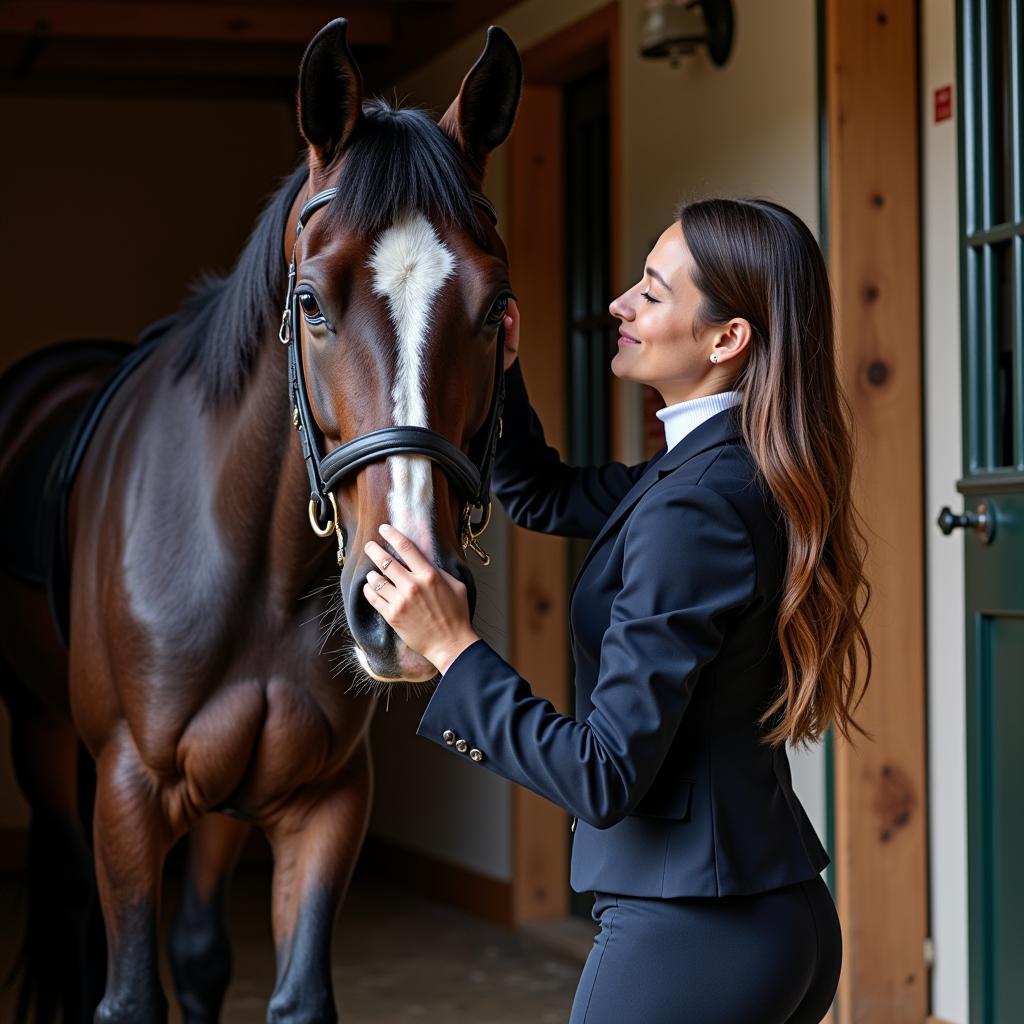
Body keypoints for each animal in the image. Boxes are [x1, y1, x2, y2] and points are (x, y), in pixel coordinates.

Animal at [0, 18, 524, 1024]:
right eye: (310, 301)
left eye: (495, 311)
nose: (403, 609)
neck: (251, 563)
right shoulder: (129, 794)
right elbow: (130, 993)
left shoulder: (324, 802)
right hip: (44, 736)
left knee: (202, 950)